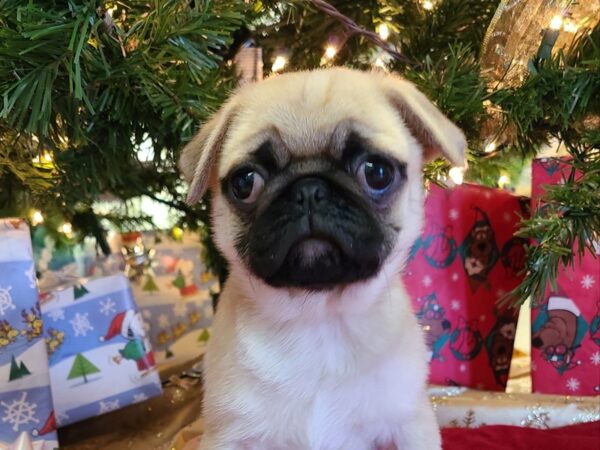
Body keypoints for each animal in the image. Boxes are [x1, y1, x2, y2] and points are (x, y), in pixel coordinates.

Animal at [180, 67, 466, 450]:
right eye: (245, 182)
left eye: (377, 172)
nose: (308, 189)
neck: (318, 318)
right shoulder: (228, 436)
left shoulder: (409, 425)